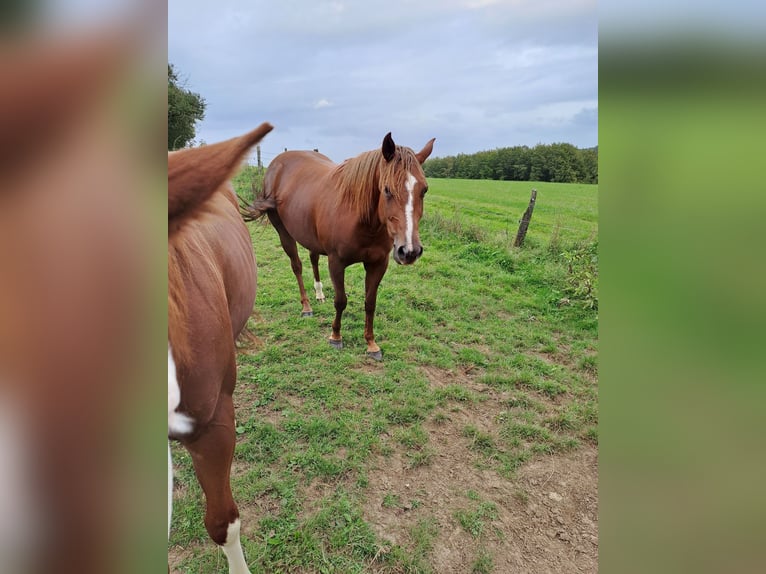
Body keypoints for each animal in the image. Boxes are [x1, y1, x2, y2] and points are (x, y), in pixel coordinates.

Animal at [246, 133, 438, 362]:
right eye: (387, 190)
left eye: (424, 190)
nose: (409, 251)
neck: (361, 217)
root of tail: (276, 164)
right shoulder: (336, 262)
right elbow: (340, 300)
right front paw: (335, 337)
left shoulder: (378, 264)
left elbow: (370, 303)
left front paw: (371, 344)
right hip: (284, 233)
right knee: (297, 266)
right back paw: (306, 306)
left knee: (313, 258)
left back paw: (319, 294)